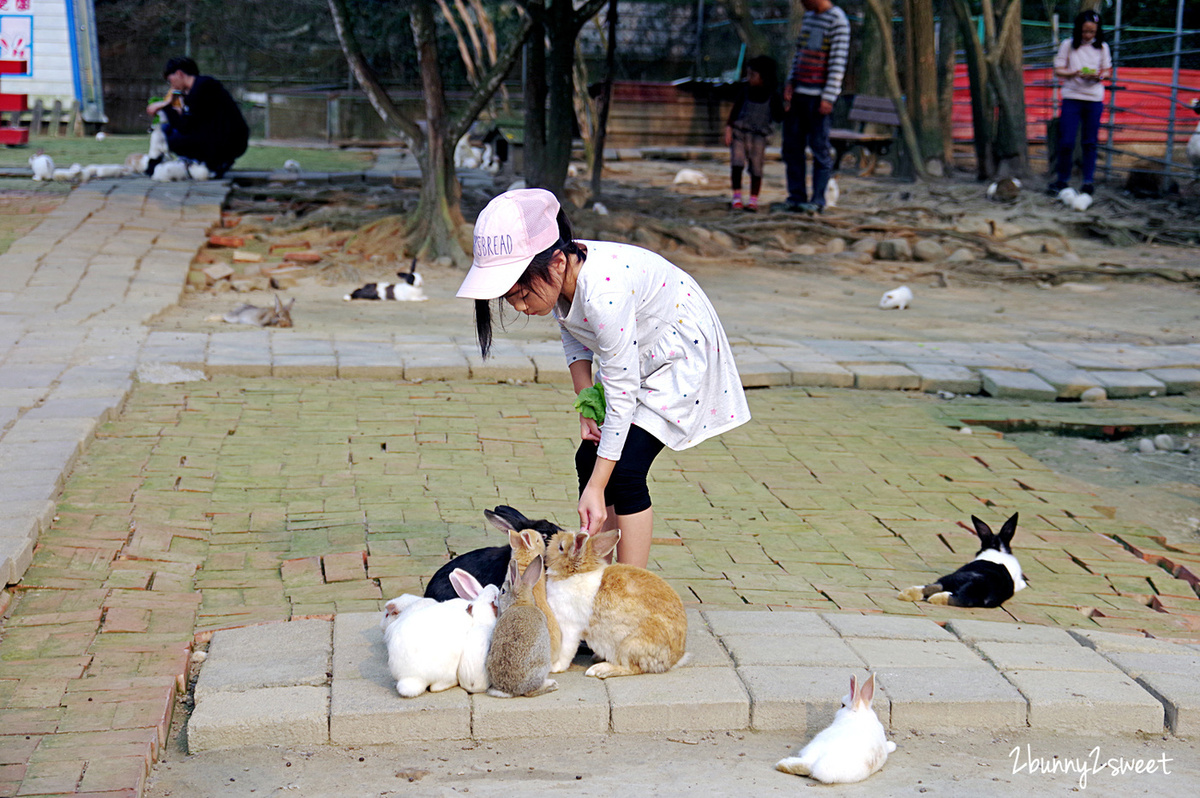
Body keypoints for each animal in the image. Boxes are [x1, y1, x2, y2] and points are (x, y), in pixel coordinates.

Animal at [484, 554, 559, 696]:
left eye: (503, 591)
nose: (495, 599)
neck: (521, 603)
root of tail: (509, 690)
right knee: (530, 693)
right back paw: (552, 685)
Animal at [544, 532, 686, 676]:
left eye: (560, 547)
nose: (547, 548)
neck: (574, 574)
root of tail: (674, 659)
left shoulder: (569, 627)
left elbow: (565, 650)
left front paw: (555, 667)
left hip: (631, 645)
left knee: (631, 668)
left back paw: (599, 669)